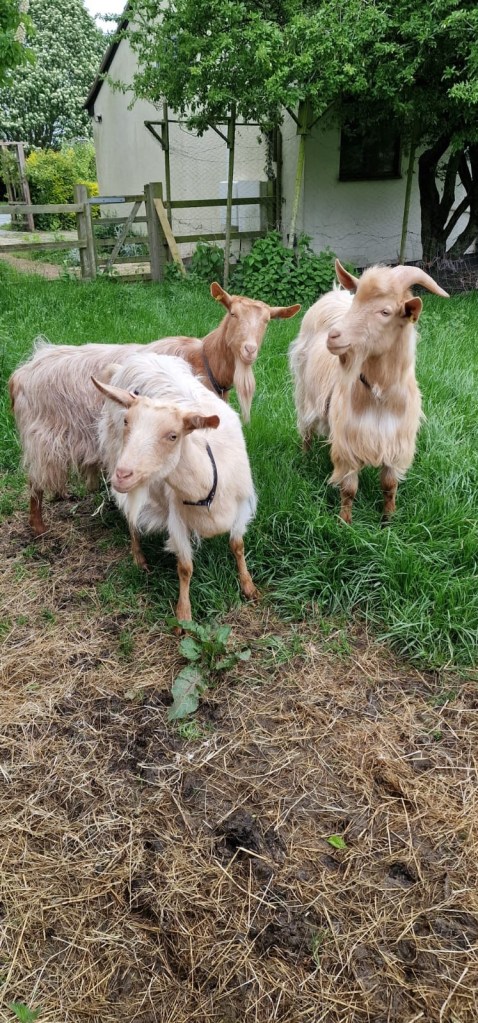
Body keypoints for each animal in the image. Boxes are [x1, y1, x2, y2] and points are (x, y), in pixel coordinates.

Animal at [10, 283, 299, 537]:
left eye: (267, 321)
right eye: (233, 313)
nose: (249, 350)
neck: (204, 358)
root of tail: (20, 374)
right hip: (43, 439)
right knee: (34, 482)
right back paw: (39, 528)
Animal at [92, 353, 258, 622]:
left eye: (173, 435)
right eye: (127, 421)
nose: (122, 475)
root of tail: (136, 359)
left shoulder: (242, 505)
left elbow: (237, 546)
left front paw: (248, 586)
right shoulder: (176, 518)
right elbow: (185, 567)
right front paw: (183, 615)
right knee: (131, 515)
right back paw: (139, 558)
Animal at [289, 260, 449, 523]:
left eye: (385, 312)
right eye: (356, 302)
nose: (334, 336)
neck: (379, 395)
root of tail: (334, 293)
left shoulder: (396, 441)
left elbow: (389, 485)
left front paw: (388, 520)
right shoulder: (349, 442)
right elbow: (349, 489)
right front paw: (345, 523)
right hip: (303, 389)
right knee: (306, 430)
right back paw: (304, 460)